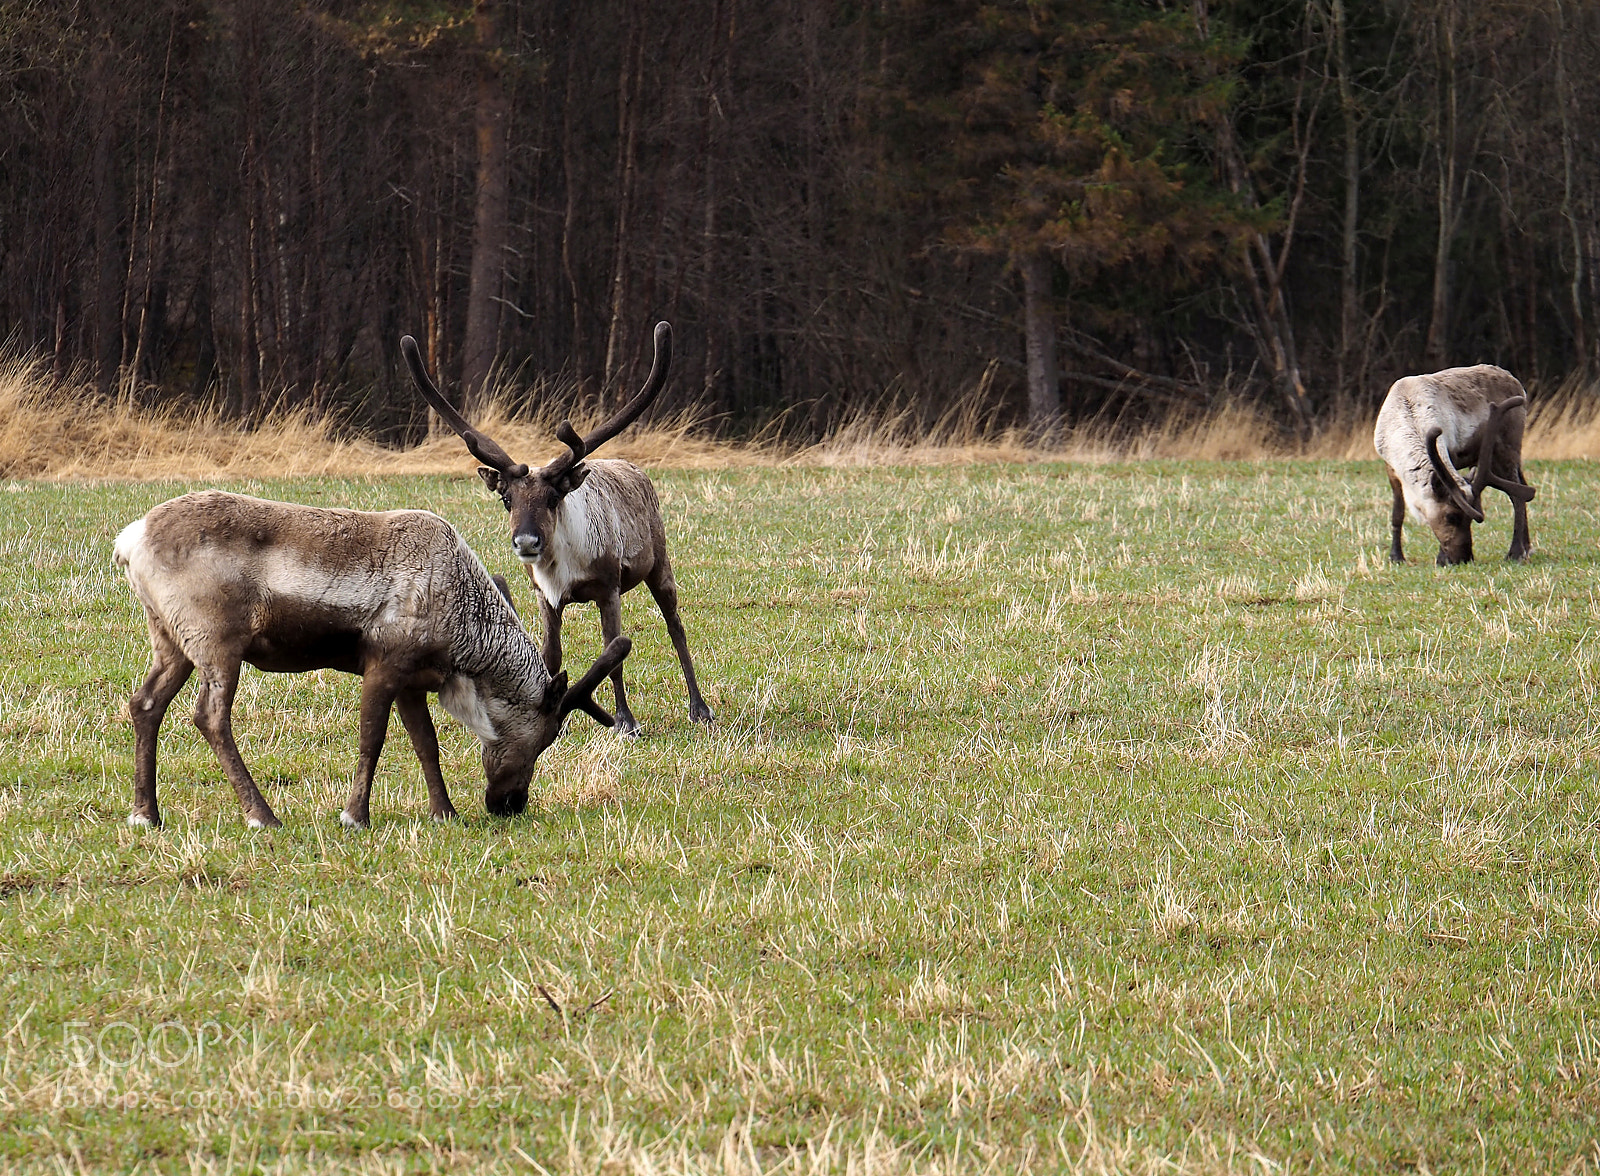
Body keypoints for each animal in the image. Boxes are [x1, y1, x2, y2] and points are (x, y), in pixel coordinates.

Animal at [113, 490, 632, 830]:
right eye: (545, 737)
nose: (510, 803)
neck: (462, 640)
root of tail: (128, 541)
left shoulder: (414, 680)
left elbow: (426, 744)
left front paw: (445, 812)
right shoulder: (385, 661)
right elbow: (372, 739)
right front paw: (354, 816)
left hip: (169, 638)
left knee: (145, 703)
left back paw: (145, 813)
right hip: (217, 640)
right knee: (209, 716)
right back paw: (262, 815)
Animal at [400, 321, 713, 737]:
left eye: (552, 498)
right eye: (507, 499)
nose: (526, 540)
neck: (564, 568)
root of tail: (635, 469)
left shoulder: (608, 587)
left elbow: (613, 655)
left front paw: (625, 722)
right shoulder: (544, 595)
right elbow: (551, 655)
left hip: (660, 561)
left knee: (676, 626)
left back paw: (700, 708)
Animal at [1374, 364, 1537, 566]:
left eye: (1469, 520)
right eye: (1452, 517)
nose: (1464, 558)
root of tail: (1517, 383)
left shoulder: (1447, 452)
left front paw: (1441, 559)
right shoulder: (1391, 467)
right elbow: (1398, 513)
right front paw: (1396, 556)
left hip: (1507, 449)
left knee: (1517, 495)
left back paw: (1515, 552)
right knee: (1522, 486)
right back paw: (1527, 548)